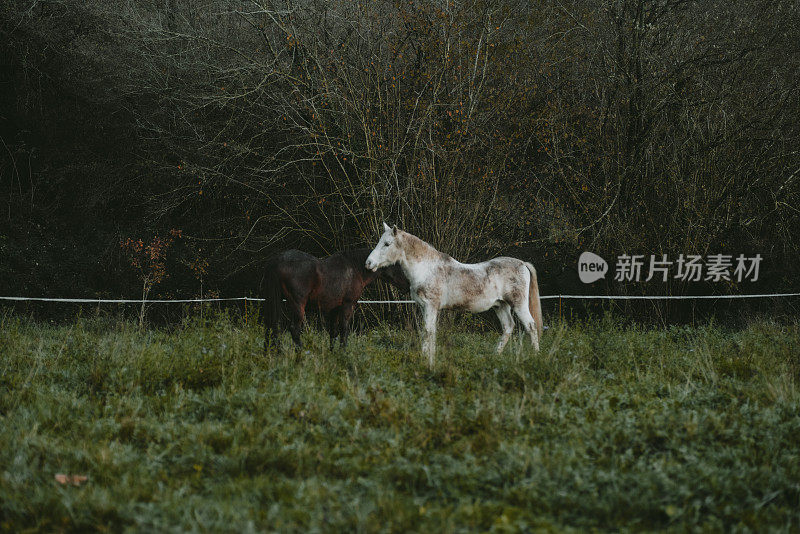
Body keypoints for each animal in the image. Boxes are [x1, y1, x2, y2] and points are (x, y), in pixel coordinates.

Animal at [262, 250, 410, 352]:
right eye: (398, 265)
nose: (409, 285)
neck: (355, 269)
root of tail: (278, 260)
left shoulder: (334, 309)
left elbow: (333, 331)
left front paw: (333, 352)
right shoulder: (347, 305)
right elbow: (344, 329)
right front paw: (342, 352)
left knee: (271, 326)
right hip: (298, 304)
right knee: (294, 329)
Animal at [364, 223, 544, 368]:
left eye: (387, 244)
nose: (368, 263)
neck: (427, 268)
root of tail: (522, 263)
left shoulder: (431, 306)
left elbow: (429, 332)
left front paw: (428, 362)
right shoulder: (424, 307)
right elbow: (427, 332)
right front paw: (426, 358)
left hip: (518, 304)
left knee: (531, 326)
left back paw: (535, 356)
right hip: (500, 306)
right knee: (508, 327)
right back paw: (494, 356)